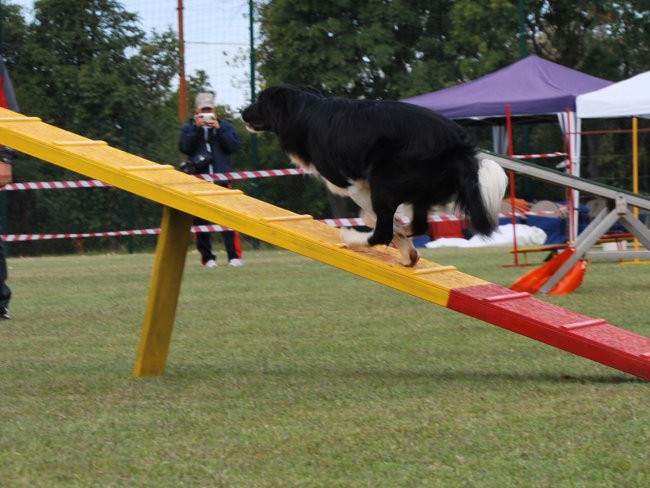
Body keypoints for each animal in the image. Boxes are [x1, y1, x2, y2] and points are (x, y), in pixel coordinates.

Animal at [240, 85, 504, 266]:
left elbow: (373, 215)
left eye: (261, 100)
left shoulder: (352, 182)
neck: (303, 110)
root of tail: (457, 144)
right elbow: (376, 216)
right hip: (420, 186)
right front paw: (406, 246)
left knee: (382, 231)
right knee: (418, 224)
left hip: (384, 177)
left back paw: (352, 236)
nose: (242, 112)